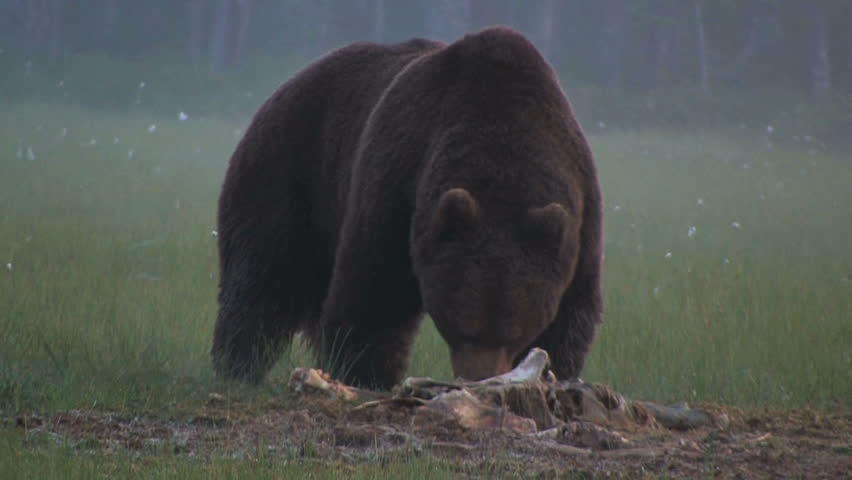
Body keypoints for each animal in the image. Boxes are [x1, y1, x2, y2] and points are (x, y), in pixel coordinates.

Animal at [212, 26, 603, 389]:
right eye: (463, 324)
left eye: (515, 331)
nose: (476, 378)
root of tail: (289, 83)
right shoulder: (400, 182)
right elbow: (374, 290)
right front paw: (367, 373)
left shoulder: (579, 215)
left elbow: (571, 312)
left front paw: (552, 369)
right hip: (289, 172)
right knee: (263, 276)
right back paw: (239, 365)